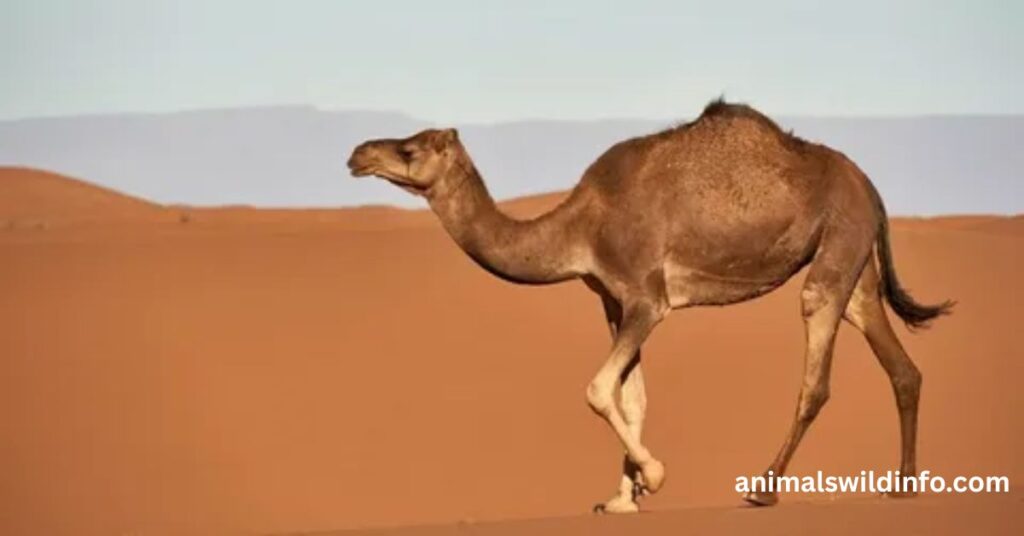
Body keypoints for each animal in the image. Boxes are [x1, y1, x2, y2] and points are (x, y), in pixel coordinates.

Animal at [346, 99, 953, 513]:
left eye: (410, 149)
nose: (357, 153)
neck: (579, 227)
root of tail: (868, 185)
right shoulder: (613, 302)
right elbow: (631, 396)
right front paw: (622, 498)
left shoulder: (646, 297)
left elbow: (597, 389)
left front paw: (653, 477)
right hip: (854, 257)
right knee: (897, 360)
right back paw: (904, 484)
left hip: (838, 240)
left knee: (816, 367)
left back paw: (764, 488)